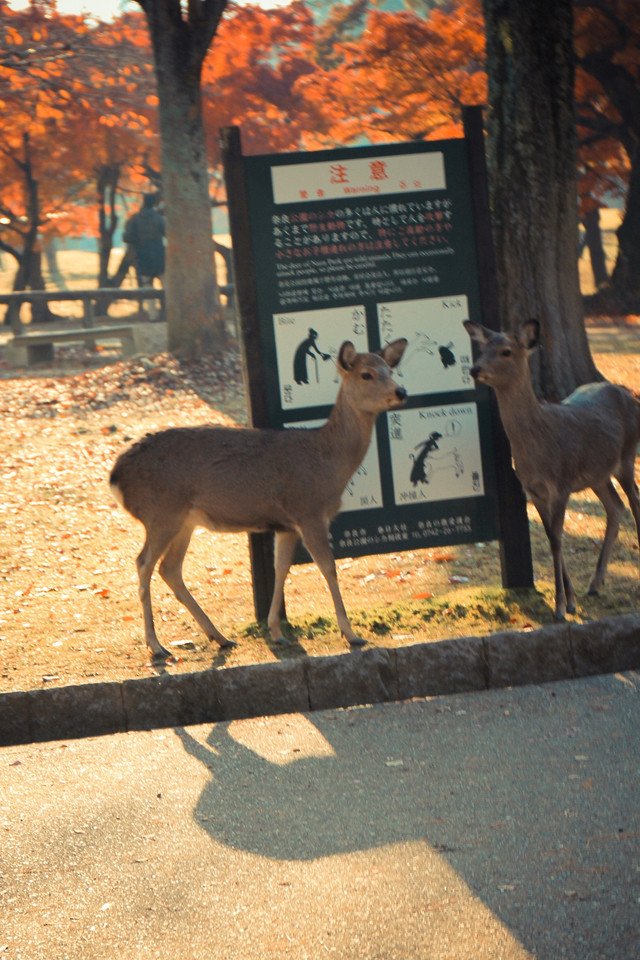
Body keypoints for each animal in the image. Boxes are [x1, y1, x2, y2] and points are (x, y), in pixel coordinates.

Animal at [110, 342, 408, 664]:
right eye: (366, 374)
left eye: (390, 370)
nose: (401, 391)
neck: (329, 463)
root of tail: (116, 477)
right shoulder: (309, 510)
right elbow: (328, 567)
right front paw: (351, 634)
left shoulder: (286, 525)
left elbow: (282, 567)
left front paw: (277, 632)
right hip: (161, 512)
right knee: (144, 563)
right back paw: (156, 645)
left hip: (184, 520)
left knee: (170, 569)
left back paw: (220, 637)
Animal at [462, 320, 640, 624]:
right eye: (482, 349)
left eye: (506, 351)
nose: (475, 369)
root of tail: (629, 393)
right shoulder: (533, 490)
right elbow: (551, 537)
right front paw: (571, 602)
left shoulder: (561, 482)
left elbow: (557, 540)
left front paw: (559, 607)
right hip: (598, 474)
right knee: (616, 506)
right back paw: (595, 584)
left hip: (627, 457)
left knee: (635, 503)